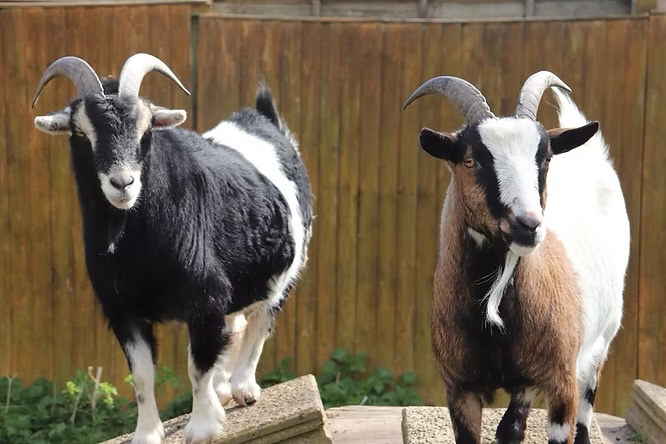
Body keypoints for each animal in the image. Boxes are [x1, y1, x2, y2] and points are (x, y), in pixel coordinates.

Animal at [32, 53, 313, 444]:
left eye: (147, 129)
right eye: (81, 133)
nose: (123, 183)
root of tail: (262, 118)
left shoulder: (204, 299)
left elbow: (197, 364)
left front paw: (202, 427)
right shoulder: (123, 311)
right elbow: (142, 376)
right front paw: (147, 434)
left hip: (287, 266)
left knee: (262, 319)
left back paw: (243, 387)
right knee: (237, 324)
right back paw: (224, 388)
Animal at [403, 71, 630, 444]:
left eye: (546, 159)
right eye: (471, 160)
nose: (528, 225)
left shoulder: (560, 384)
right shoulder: (460, 388)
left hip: (602, 340)